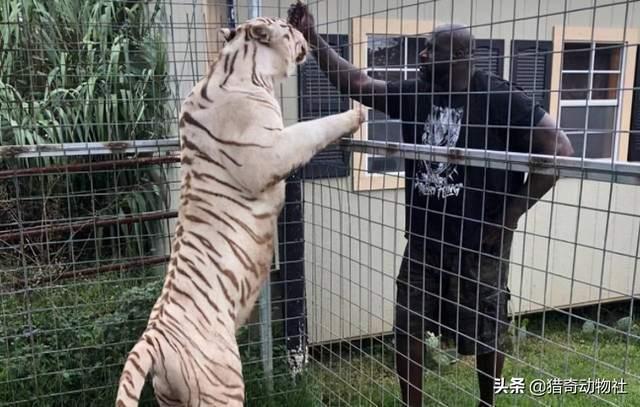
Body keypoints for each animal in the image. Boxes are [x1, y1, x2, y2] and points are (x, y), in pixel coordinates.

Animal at [115, 15, 364, 404]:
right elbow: (311, 129)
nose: (303, 32)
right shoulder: (272, 151)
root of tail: (154, 338)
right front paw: (356, 112)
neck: (241, 67)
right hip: (223, 384)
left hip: (171, 396)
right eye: (289, 29)